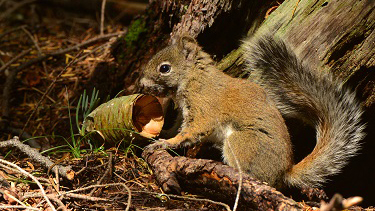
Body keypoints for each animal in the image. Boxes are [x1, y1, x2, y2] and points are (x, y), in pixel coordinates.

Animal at [140, 33, 366, 189]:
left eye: (164, 68)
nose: (141, 84)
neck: (193, 77)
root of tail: (284, 172)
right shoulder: (184, 113)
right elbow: (177, 127)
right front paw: (162, 134)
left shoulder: (204, 107)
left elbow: (190, 132)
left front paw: (164, 143)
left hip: (241, 143)